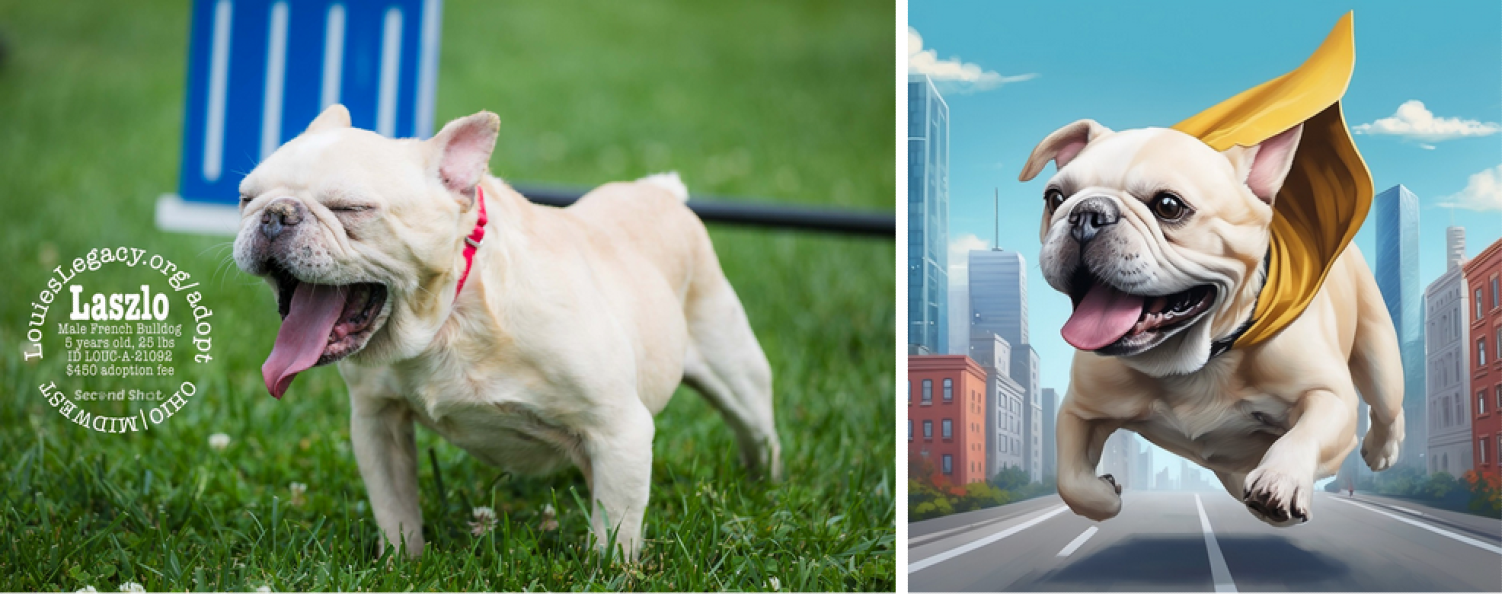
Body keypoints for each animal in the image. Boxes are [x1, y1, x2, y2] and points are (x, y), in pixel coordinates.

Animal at [1017, 119, 1402, 529]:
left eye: (1168, 206)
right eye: (1055, 198)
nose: (1086, 214)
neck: (1193, 360)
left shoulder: (1330, 396)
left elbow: (1305, 433)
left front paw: (1280, 480)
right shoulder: (1081, 408)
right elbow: (1071, 478)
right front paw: (1103, 495)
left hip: (1377, 351)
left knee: (1387, 405)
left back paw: (1380, 451)